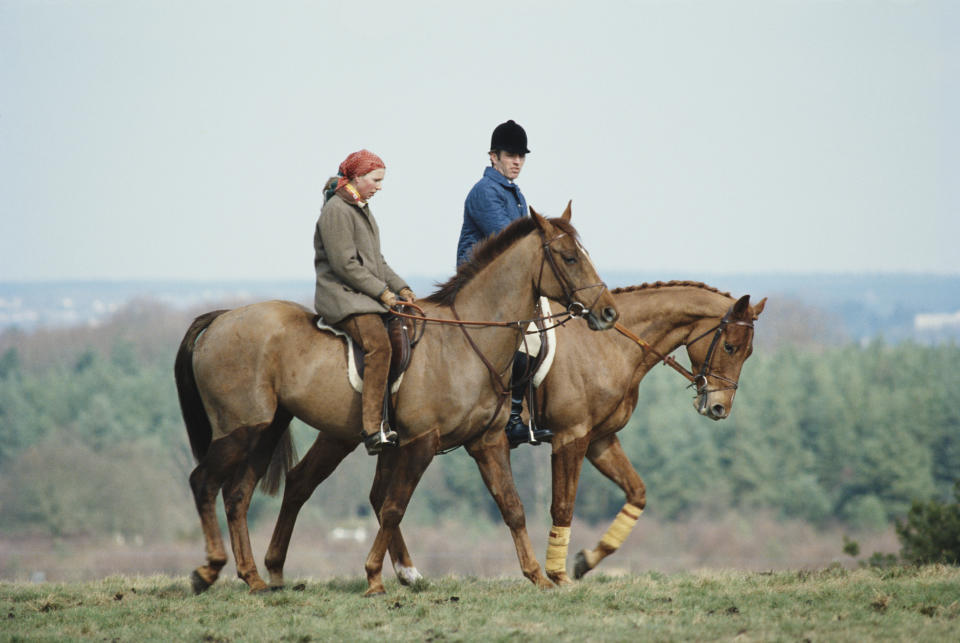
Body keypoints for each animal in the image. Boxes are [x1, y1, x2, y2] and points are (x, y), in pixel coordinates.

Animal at [175, 206, 620, 592]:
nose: (608, 312)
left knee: (241, 494)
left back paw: (256, 577)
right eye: (569, 257)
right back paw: (209, 570)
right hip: (240, 431)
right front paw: (374, 576)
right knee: (204, 482)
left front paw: (538, 576)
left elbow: (512, 506)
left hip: (267, 431)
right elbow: (393, 506)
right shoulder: (420, 442)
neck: (467, 340)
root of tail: (222, 317)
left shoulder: (487, 443)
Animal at [262, 282, 764, 588]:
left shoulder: (601, 440)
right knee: (308, 482)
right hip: (347, 434)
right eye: (731, 345)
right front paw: (559, 572)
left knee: (368, 494)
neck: (609, 345)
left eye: (747, 352)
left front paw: (586, 560)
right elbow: (562, 504)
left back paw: (404, 572)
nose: (718, 408)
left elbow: (637, 493)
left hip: (389, 441)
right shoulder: (571, 438)